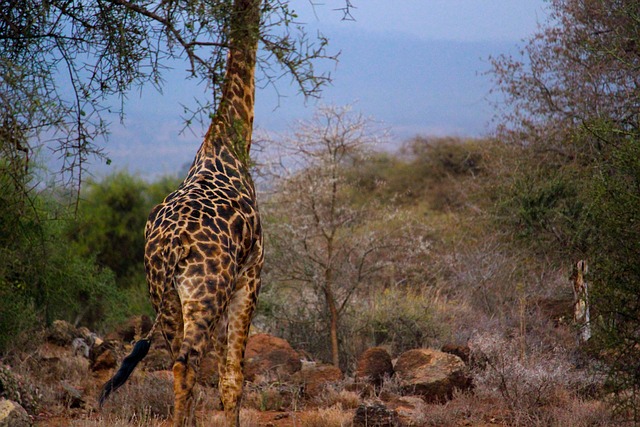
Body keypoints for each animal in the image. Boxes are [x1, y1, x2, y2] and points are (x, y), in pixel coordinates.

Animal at [99, 1, 262, 426]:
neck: (228, 146)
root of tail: (172, 246)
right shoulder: (251, 275)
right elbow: (232, 377)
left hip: (164, 295)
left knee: (178, 363)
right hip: (206, 294)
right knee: (190, 362)